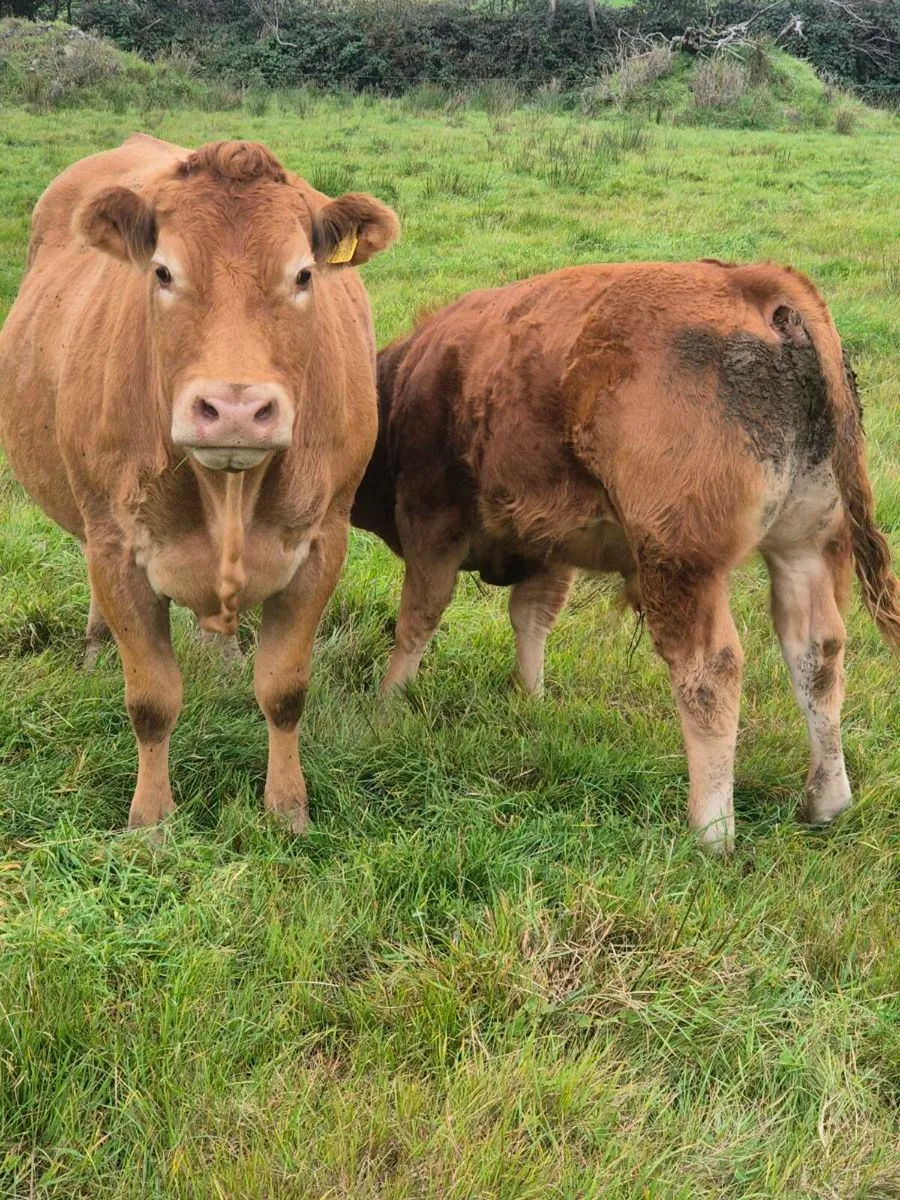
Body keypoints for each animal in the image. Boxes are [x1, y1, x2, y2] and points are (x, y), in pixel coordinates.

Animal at [0, 134, 398, 834]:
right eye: (163, 272)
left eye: (303, 275)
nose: (235, 408)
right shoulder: (118, 545)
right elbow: (151, 699)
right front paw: (151, 821)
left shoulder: (323, 541)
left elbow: (285, 690)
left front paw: (288, 808)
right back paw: (95, 651)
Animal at [351, 262, 900, 851]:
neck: (406, 381)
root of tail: (753, 283)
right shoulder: (548, 544)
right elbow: (531, 619)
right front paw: (529, 698)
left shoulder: (432, 527)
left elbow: (417, 620)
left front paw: (386, 703)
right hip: (805, 548)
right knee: (817, 654)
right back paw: (826, 801)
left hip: (680, 561)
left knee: (711, 671)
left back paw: (710, 830)